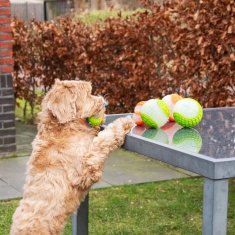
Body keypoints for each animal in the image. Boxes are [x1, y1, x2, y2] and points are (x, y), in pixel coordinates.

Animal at [11, 80, 133, 234]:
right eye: (89, 93)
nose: (106, 103)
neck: (63, 129)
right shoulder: (86, 171)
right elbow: (101, 141)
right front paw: (124, 122)